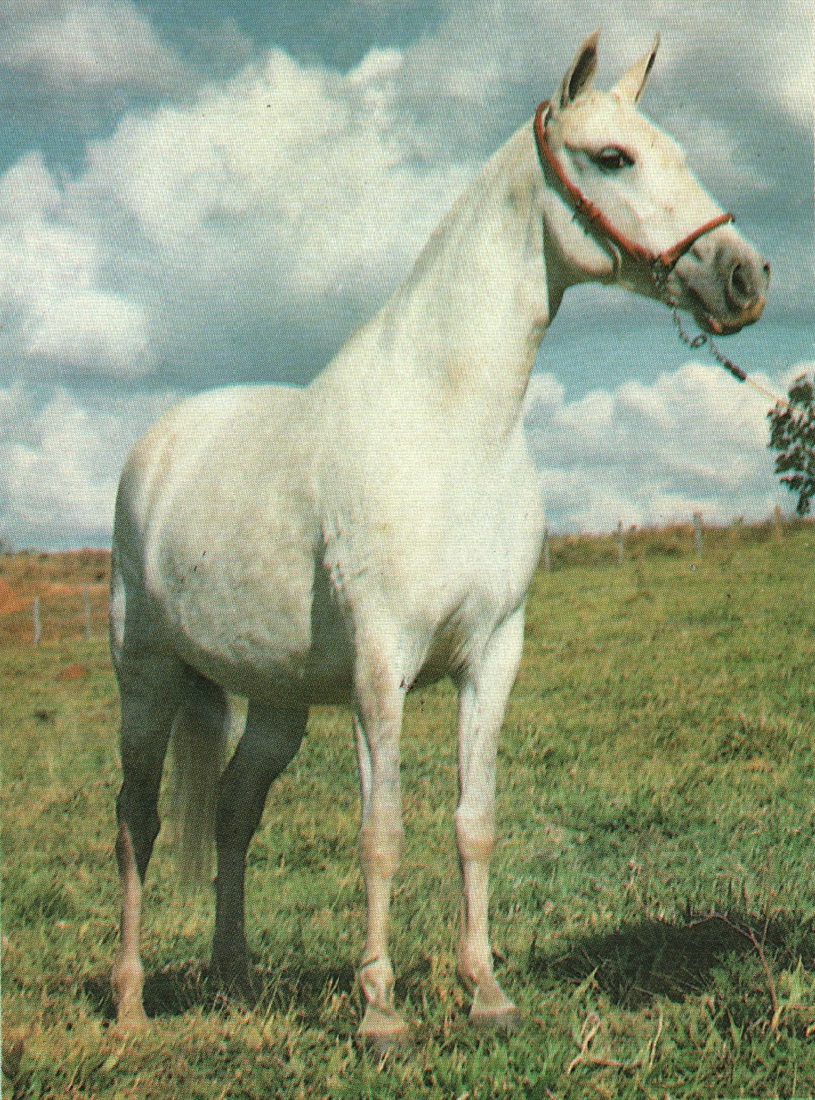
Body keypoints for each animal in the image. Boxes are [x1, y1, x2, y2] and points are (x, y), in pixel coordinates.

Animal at [109, 32, 769, 1047]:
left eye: (679, 152)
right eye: (612, 157)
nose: (744, 278)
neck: (449, 425)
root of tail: (161, 447)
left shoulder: (491, 654)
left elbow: (473, 820)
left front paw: (484, 992)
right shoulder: (382, 663)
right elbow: (381, 829)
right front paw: (379, 1010)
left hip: (278, 699)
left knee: (233, 812)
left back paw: (232, 974)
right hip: (146, 678)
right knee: (136, 821)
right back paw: (132, 1002)